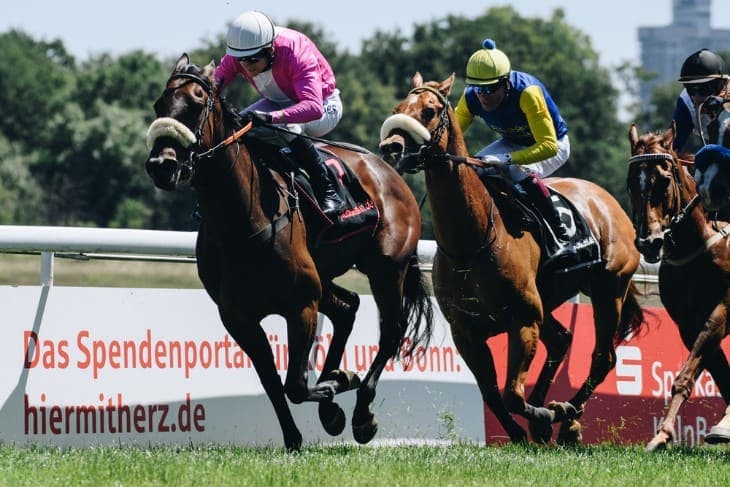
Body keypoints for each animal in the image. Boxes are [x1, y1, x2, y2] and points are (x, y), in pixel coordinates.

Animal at [144, 54, 434, 451]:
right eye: (159, 105)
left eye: (196, 103)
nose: (162, 166)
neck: (242, 219)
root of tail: (389, 170)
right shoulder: (237, 316)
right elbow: (273, 383)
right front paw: (298, 434)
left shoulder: (300, 305)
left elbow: (295, 384)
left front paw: (339, 387)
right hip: (325, 276)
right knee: (347, 309)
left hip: (387, 268)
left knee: (391, 330)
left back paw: (361, 414)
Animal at [378, 72, 645, 444]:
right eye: (397, 108)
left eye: (429, 111)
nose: (392, 147)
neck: (473, 239)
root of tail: (609, 202)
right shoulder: (466, 332)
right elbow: (492, 394)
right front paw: (526, 430)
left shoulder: (523, 321)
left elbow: (512, 394)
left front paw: (548, 414)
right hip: (549, 299)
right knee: (561, 341)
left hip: (609, 289)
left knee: (602, 358)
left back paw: (569, 418)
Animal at [627, 123, 730, 450]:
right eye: (632, 182)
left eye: (664, 179)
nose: (649, 242)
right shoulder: (687, 324)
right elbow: (719, 375)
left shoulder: (721, 311)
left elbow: (687, 375)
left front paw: (664, 432)